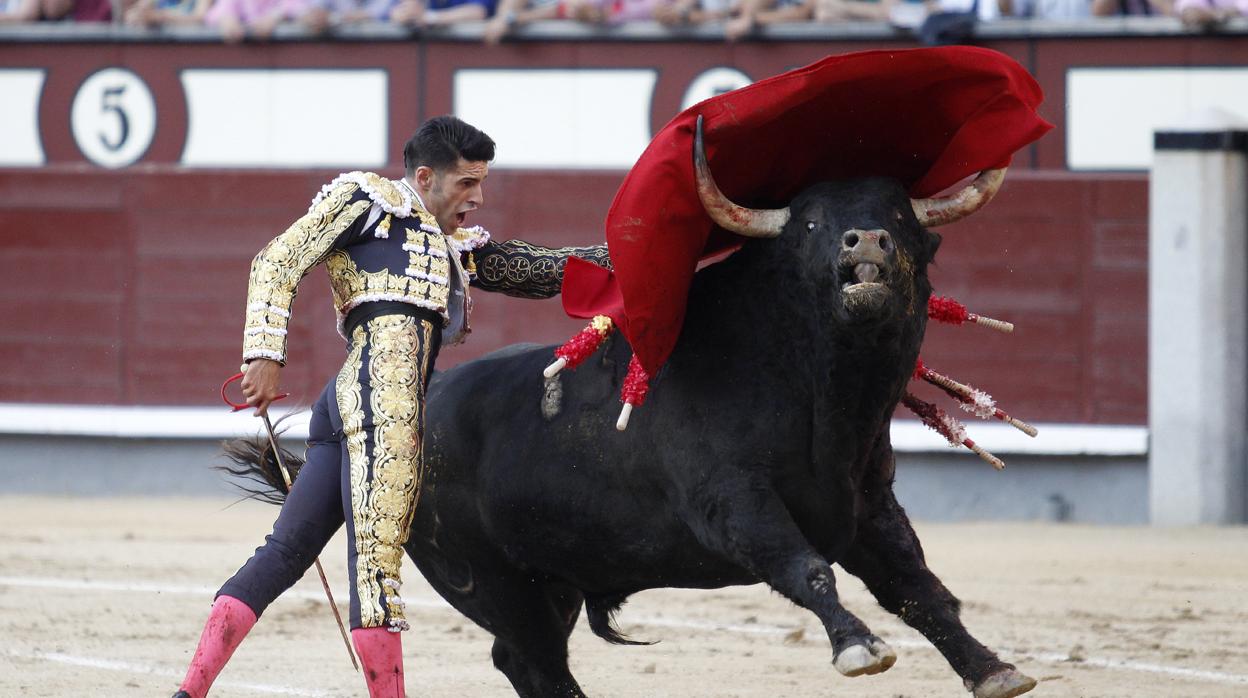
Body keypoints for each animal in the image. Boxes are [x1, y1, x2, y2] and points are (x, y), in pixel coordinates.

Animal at [229, 124, 1038, 698]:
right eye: (808, 224)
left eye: (898, 211)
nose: (865, 238)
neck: (825, 397)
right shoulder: (731, 502)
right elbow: (806, 568)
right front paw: (860, 648)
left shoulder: (867, 505)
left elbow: (921, 591)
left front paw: (994, 668)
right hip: (483, 577)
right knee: (525, 660)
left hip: (548, 580)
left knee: (525, 663)